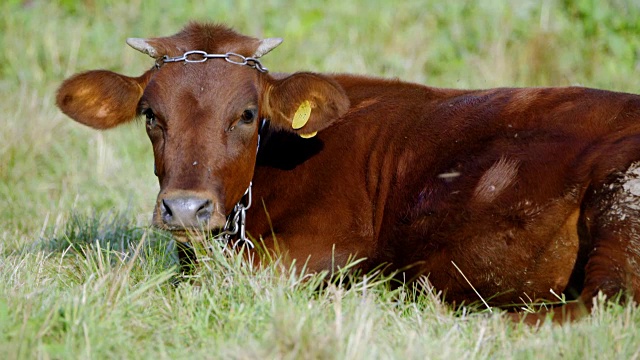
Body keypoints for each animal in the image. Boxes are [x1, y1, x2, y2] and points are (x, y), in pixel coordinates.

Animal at [56, 21, 640, 322]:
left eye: (246, 114)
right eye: (151, 115)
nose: (185, 208)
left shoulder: (322, 247)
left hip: (620, 204)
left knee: (599, 306)